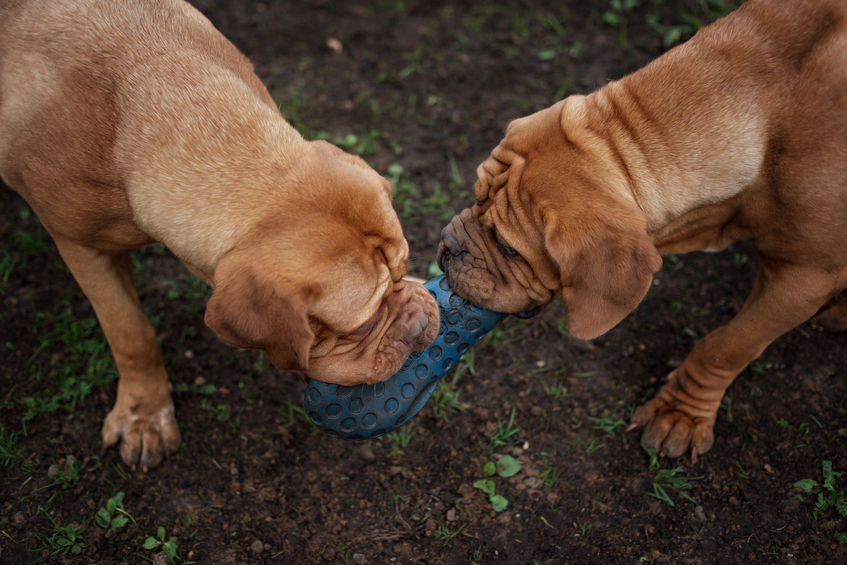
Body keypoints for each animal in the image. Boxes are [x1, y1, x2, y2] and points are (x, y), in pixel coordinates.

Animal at [4, 0, 444, 468]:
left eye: (401, 271)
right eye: (363, 326)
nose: (418, 323)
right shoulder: (80, 246)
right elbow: (130, 331)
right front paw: (145, 414)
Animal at [440, 0, 844, 458]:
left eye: (508, 248)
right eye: (476, 196)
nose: (447, 245)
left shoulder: (803, 277)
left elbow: (726, 346)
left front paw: (679, 414)